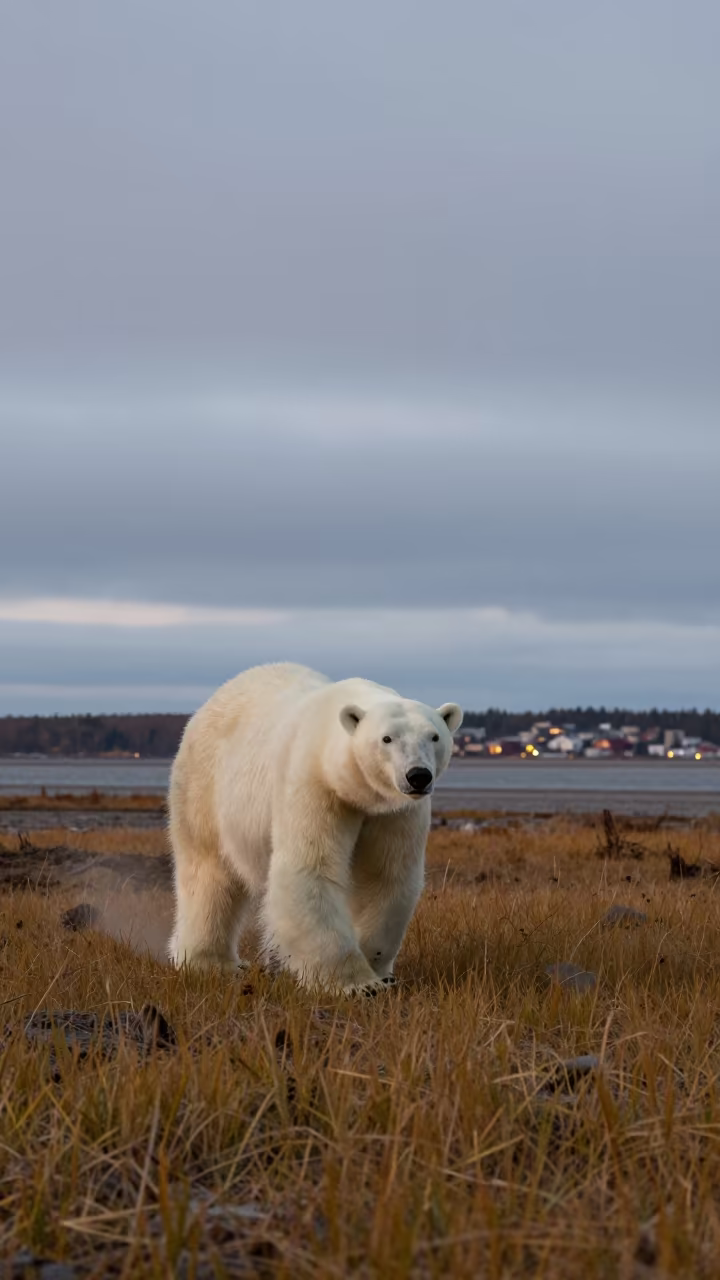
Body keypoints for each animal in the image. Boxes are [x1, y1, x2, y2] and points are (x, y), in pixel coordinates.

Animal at [168, 662, 462, 993]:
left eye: (434, 737)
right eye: (387, 738)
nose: (418, 776)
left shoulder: (394, 810)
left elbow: (386, 875)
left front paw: (380, 972)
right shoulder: (314, 783)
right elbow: (310, 869)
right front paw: (358, 985)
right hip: (203, 786)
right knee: (208, 872)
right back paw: (210, 963)